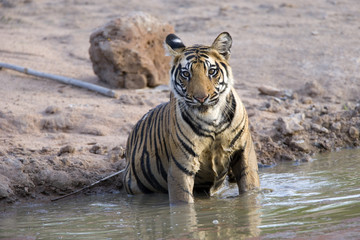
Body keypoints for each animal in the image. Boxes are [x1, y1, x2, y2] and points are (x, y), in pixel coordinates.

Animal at [123, 32, 258, 204]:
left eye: (212, 72)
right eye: (186, 74)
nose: (201, 98)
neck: (213, 120)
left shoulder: (244, 152)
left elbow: (250, 191)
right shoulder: (181, 165)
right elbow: (182, 203)